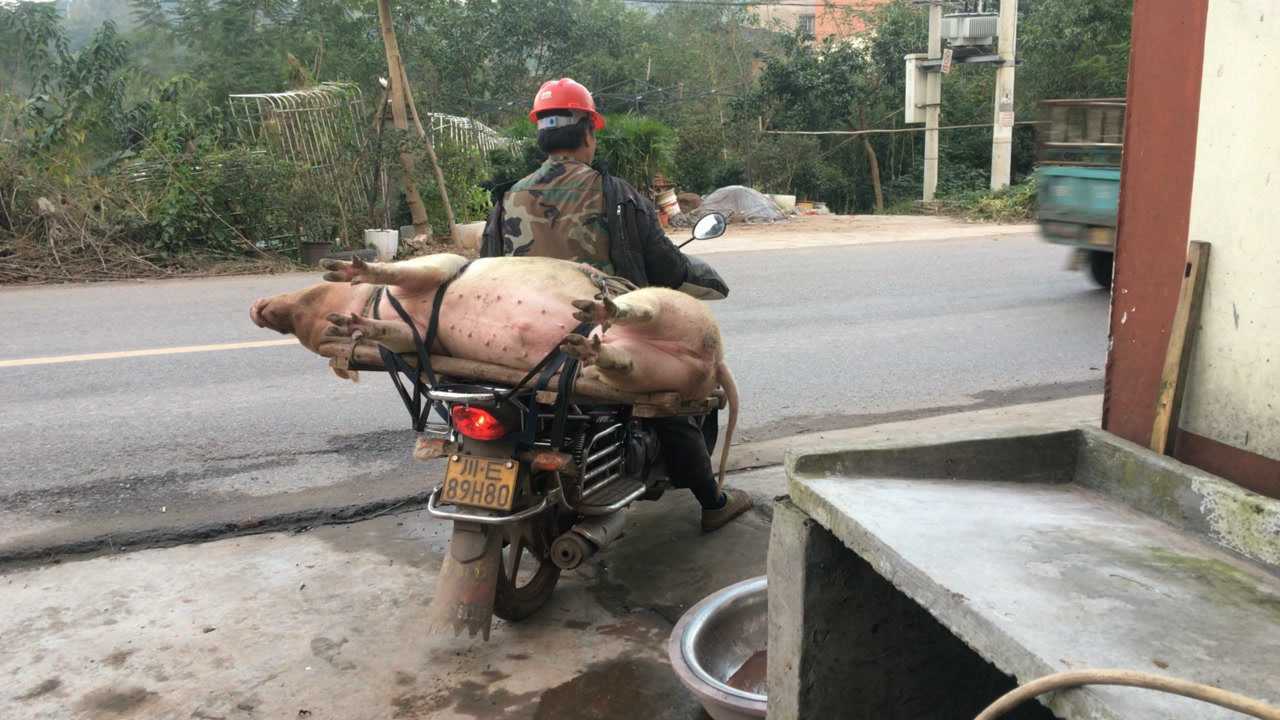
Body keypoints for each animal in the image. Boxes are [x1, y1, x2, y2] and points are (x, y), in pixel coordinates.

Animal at [249, 252, 742, 481]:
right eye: (313, 337)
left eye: (309, 293)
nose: (256, 310)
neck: (377, 304)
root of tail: (715, 362)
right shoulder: (417, 338)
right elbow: (395, 333)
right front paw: (353, 326)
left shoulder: (440, 267)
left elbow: (406, 271)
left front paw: (347, 271)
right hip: (648, 372)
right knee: (619, 360)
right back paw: (585, 345)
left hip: (673, 309)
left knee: (636, 308)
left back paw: (598, 311)